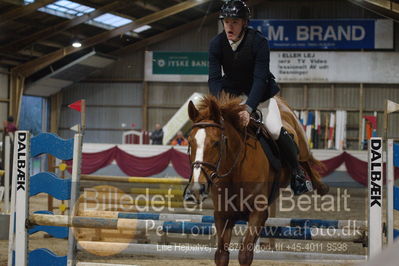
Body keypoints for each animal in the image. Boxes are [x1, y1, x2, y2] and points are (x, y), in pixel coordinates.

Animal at [185, 94, 328, 266]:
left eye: (216, 143)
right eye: (190, 142)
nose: (196, 189)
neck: (236, 172)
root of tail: (280, 101)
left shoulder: (258, 213)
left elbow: (245, 255)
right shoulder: (222, 215)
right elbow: (221, 255)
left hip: (302, 147)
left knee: (305, 161)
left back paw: (315, 185)